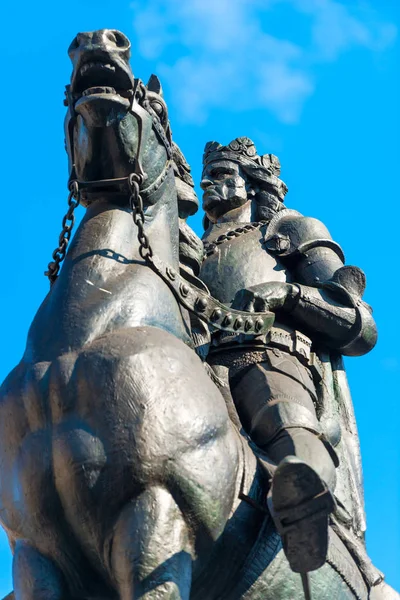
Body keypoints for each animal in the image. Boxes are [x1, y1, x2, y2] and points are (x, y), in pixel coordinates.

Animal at [0, 27, 394, 600]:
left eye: (158, 104)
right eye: (67, 92)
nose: (99, 41)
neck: (84, 340)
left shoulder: (157, 514)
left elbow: (359, 318)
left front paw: (268, 297)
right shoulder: (35, 552)